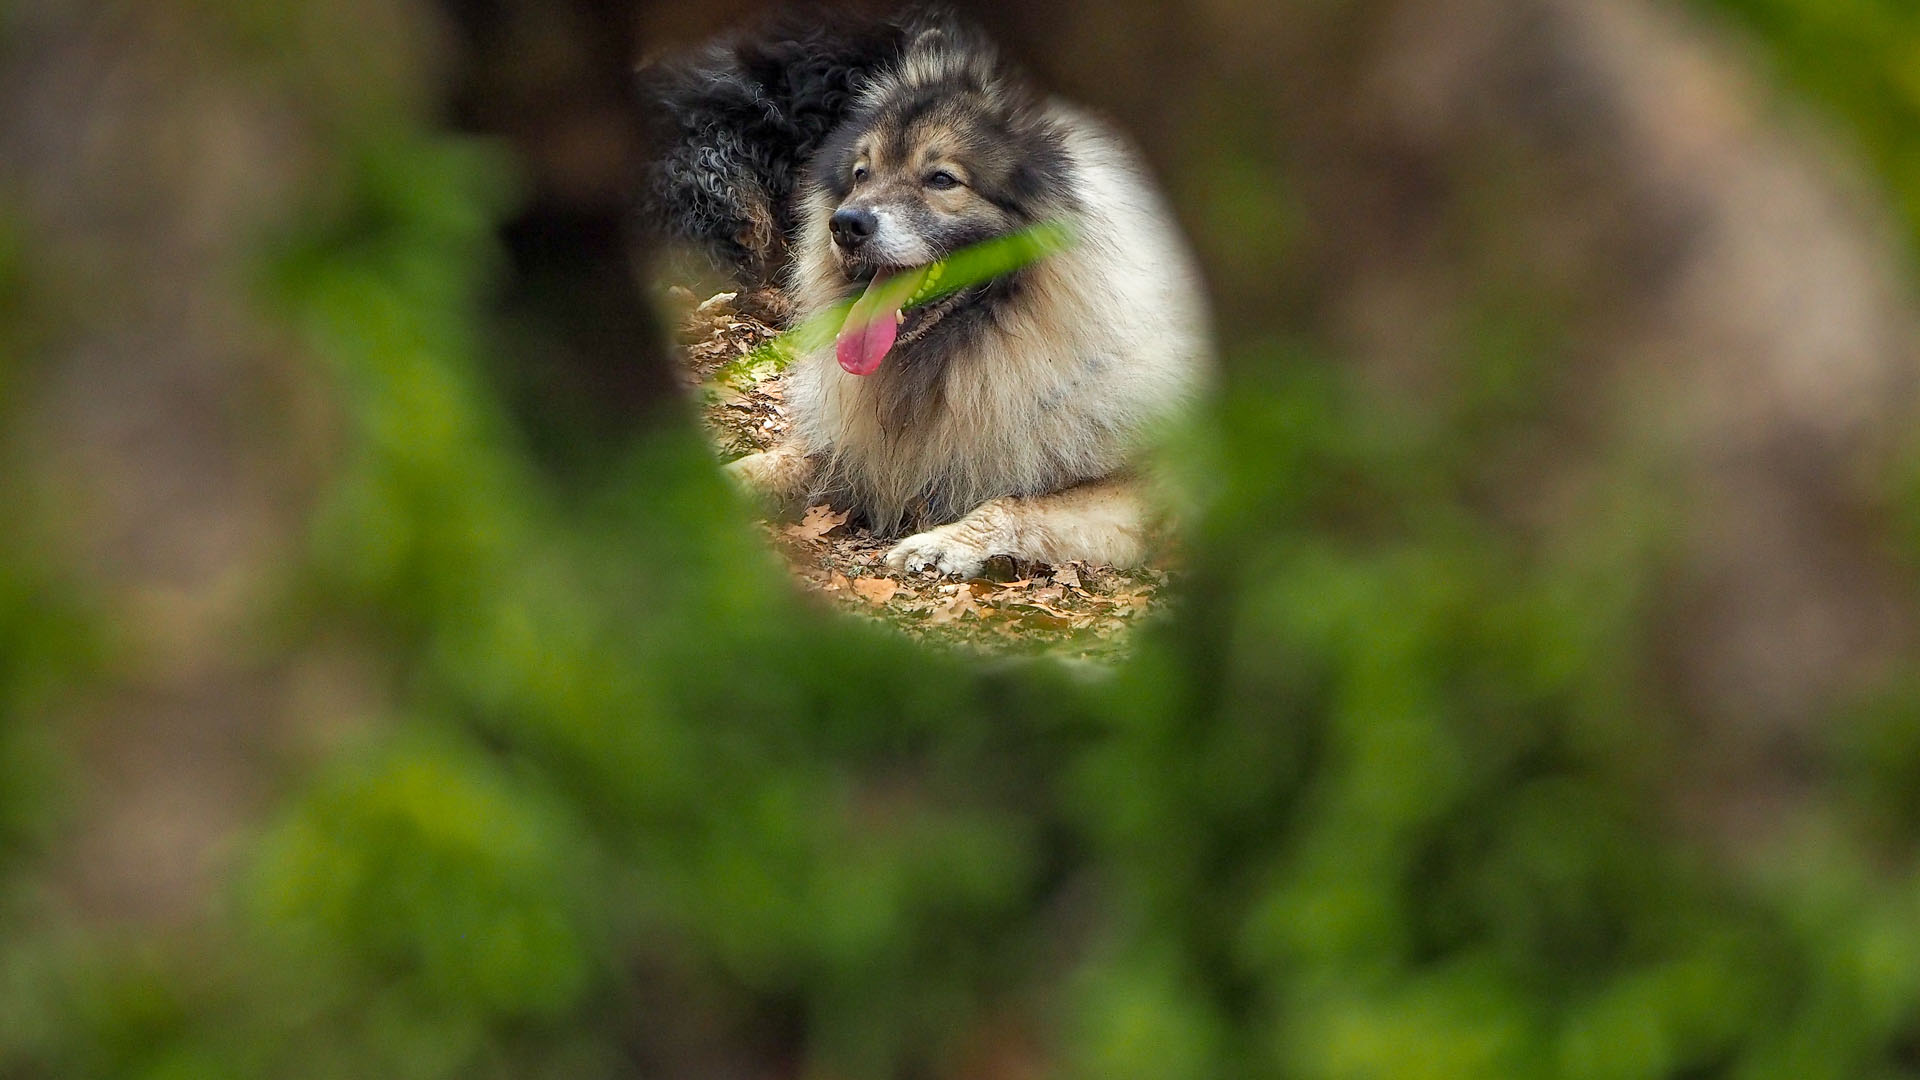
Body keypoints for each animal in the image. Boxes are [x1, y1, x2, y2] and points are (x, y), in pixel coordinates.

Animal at [645, 12, 1213, 576]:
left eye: (942, 179)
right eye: (861, 174)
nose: (844, 225)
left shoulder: (1142, 488)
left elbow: (1013, 504)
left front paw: (941, 544)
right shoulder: (862, 447)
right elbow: (782, 459)